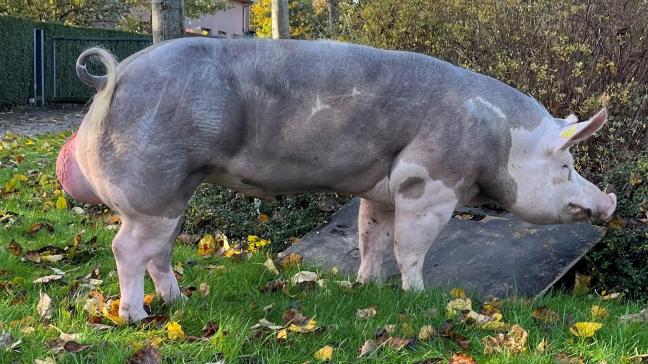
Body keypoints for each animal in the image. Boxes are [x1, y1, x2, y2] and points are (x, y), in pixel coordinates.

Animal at [57, 37, 616, 322]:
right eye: (565, 167)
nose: (608, 202)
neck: (499, 141)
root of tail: (114, 78)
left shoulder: (383, 190)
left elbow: (372, 237)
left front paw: (366, 286)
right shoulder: (428, 186)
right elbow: (410, 248)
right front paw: (421, 297)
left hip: (173, 194)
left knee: (158, 251)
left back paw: (181, 302)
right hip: (151, 187)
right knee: (126, 249)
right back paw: (135, 318)